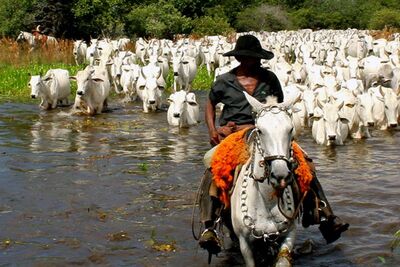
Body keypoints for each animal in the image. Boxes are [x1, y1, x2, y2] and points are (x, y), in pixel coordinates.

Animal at [230, 92, 298, 267]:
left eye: (290, 129)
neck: (267, 201)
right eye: (260, 131)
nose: (280, 175)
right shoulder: (245, 244)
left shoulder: (290, 234)